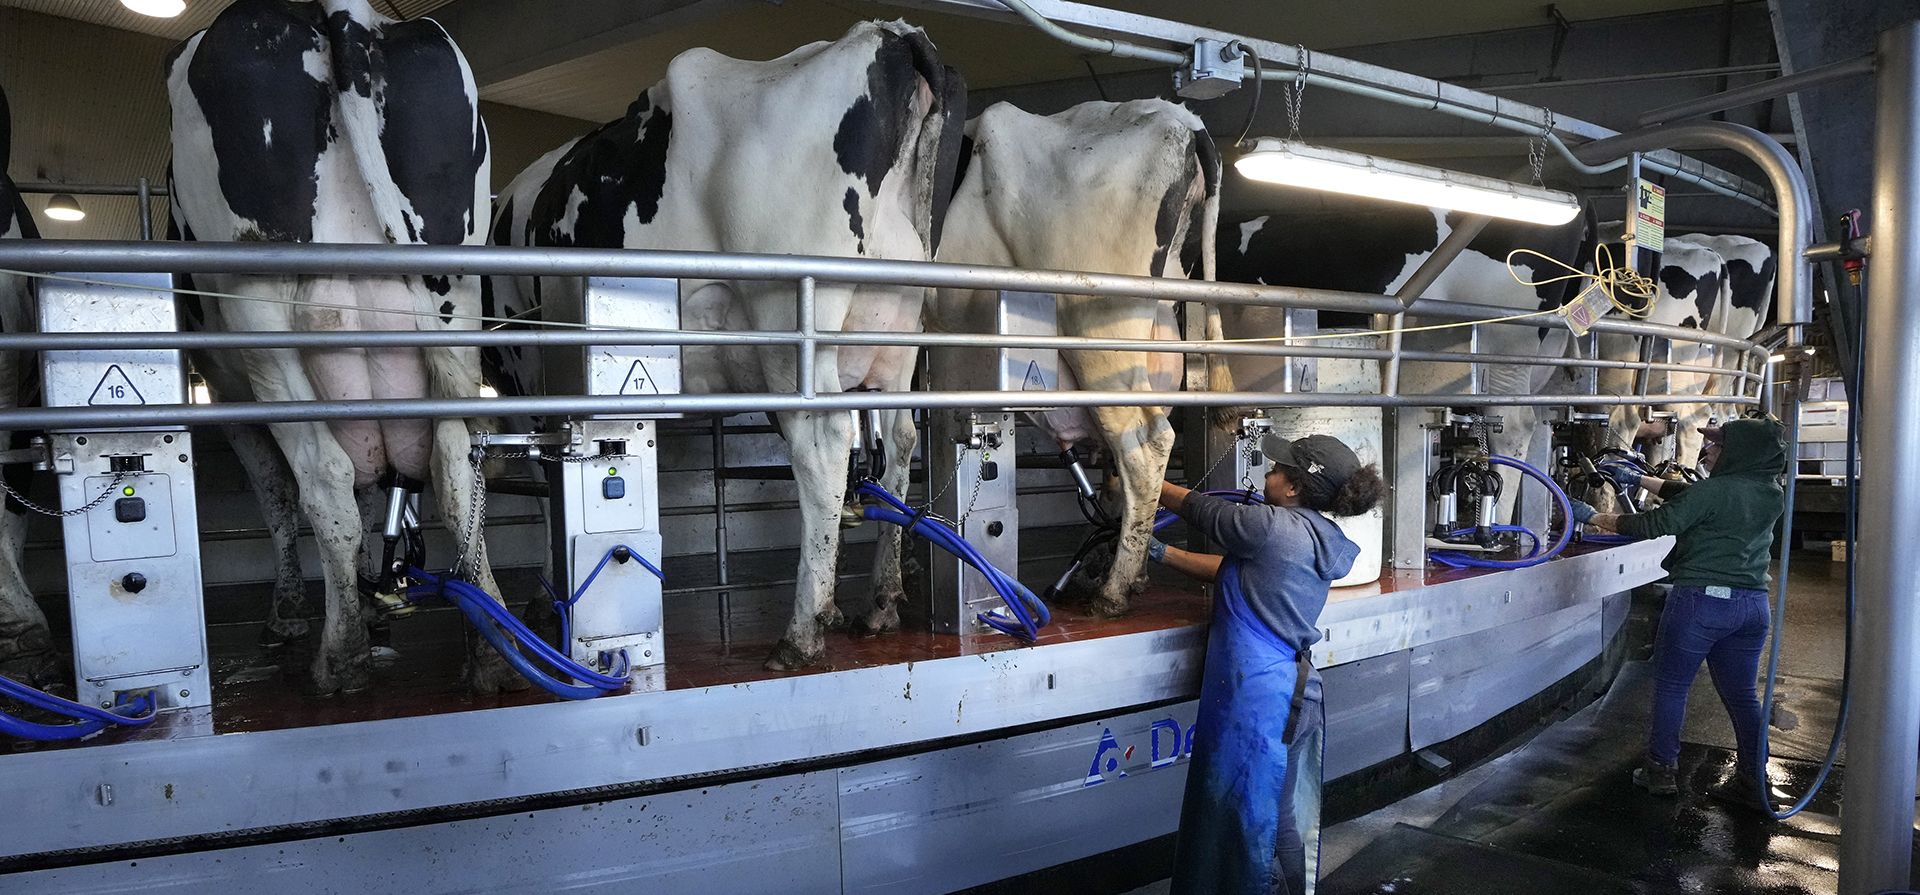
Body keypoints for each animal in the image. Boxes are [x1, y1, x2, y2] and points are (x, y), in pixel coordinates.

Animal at [167, 0, 506, 695]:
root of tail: (348, 15)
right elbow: (373, 485)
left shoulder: (225, 389)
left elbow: (277, 491)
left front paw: (289, 611)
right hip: (455, 286)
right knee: (457, 466)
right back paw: (487, 650)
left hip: (258, 303)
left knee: (322, 476)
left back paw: (339, 656)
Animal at [488, 21, 965, 670]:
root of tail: (889, 33)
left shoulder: (523, 369)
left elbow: (541, 483)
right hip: (896, 327)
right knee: (899, 441)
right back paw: (880, 602)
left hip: (790, 318)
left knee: (824, 445)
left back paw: (802, 631)